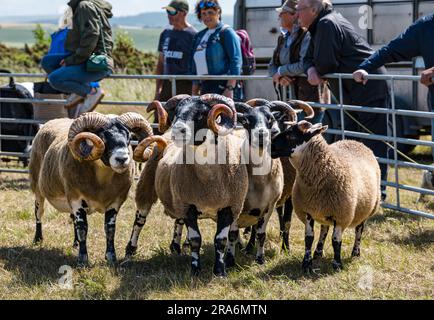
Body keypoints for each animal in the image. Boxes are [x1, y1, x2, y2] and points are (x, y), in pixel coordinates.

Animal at [28, 112, 154, 264]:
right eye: (102, 137)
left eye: (129, 137)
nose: (122, 159)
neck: (101, 183)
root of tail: (50, 122)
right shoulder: (76, 198)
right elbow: (83, 227)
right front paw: (83, 259)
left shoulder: (116, 201)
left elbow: (110, 228)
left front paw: (111, 257)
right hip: (37, 186)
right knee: (39, 212)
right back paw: (37, 239)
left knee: (72, 219)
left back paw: (75, 244)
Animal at [125, 94, 248, 276]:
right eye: (177, 111)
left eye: (201, 113)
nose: (178, 130)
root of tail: (166, 133)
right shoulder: (188, 205)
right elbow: (196, 239)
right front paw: (195, 270)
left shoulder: (229, 206)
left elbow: (220, 240)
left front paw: (219, 271)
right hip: (147, 185)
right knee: (139, 219)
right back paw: (130, 250)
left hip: (176, 197)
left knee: (178, 221)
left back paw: (176, 247)